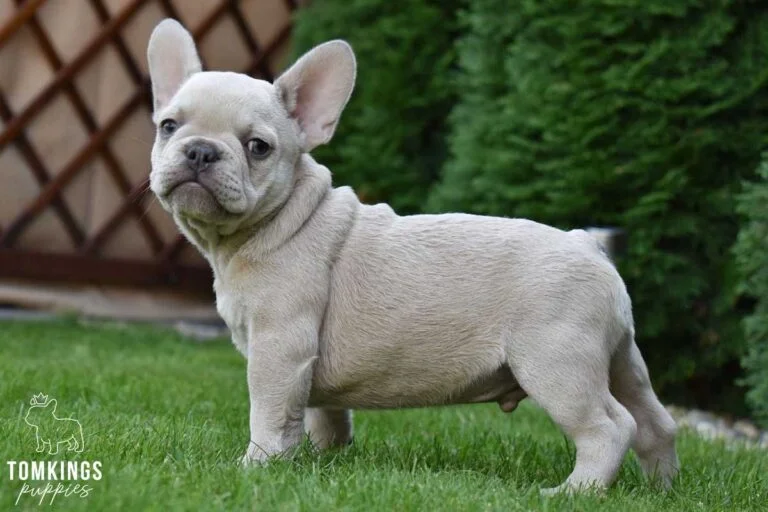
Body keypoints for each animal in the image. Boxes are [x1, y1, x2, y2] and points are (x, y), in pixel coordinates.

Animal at [146, 18, 680, 494]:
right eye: (168, 126)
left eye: (257, 147)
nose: (200, 151)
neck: (275, 222)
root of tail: (588, 244)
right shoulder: (306, 366)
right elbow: (322, 414)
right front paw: (319, 458)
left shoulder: (281, 348)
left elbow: (271, 412)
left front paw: (259, 466)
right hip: (618, 358)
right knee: (655, 420)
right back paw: (661, 489)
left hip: (558, 363)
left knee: (610, 427)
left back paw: (576, 491)